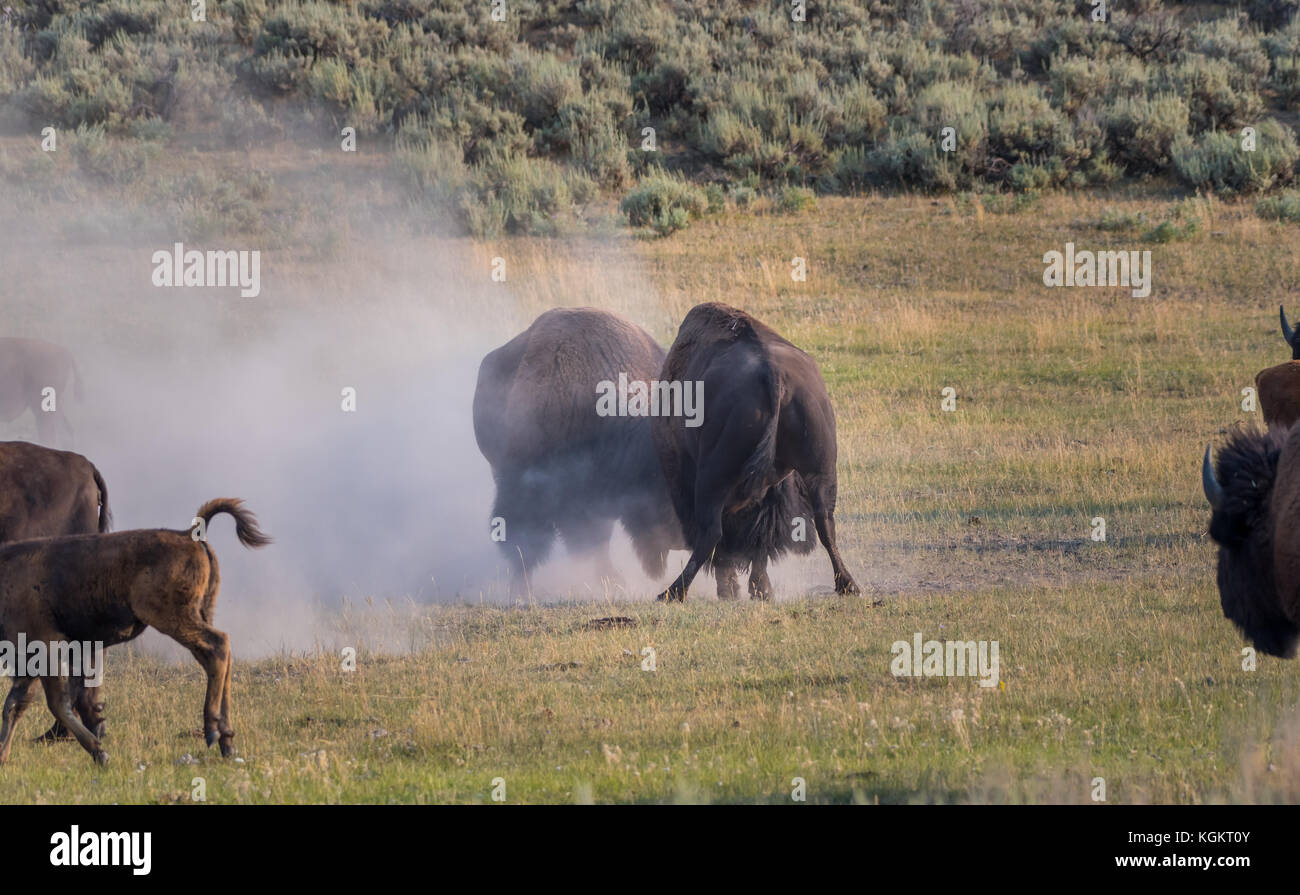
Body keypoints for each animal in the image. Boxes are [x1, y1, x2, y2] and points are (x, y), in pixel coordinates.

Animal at [0, 499, 270, 764]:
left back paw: (213, 731)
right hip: (198, 616)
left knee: (218, 646)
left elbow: (53, 704)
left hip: (174, 620)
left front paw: (100, 753)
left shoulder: (44, 649)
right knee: (218, 656)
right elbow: (13, 705)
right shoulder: (29, 662)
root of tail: (188, 534)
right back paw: (227, 742)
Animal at [652, 302, 859, 601]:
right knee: (825, 523)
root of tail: (774, 375)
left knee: (712, 533)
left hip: (712, 479)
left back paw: (673, 592)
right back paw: (847, 585)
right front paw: (761, 589)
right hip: (820, 468)